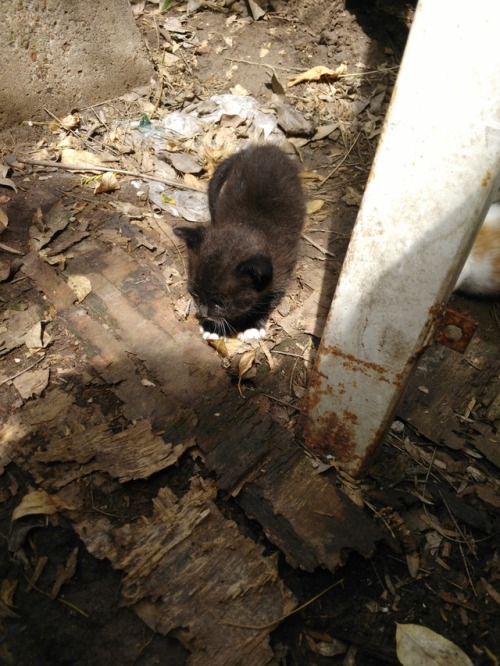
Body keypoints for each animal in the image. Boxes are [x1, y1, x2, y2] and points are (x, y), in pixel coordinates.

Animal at [172, 143, 304, 340]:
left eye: (222, 304)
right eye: (194, 292)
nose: (203, 312)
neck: (249, 225)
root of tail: (264, 147)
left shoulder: (281, 271)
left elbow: (267, 300)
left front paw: (251, 324)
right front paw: (212, 326)